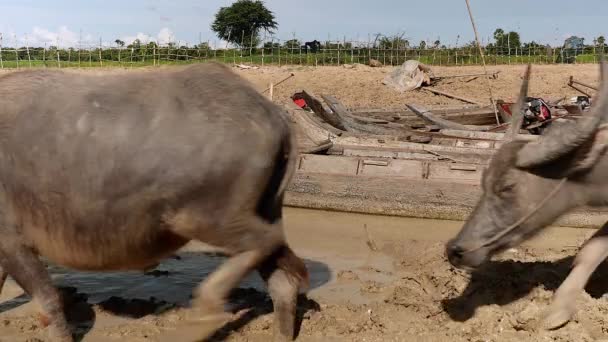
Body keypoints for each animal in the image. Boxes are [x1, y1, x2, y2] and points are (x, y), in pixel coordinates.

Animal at [0, 62, 308, 340]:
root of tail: (274, 115)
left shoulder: (13, 241)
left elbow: (48, 301)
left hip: (201, 217)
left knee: (265, 241)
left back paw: (203, 316)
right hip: (264, 207)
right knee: (281, 272)